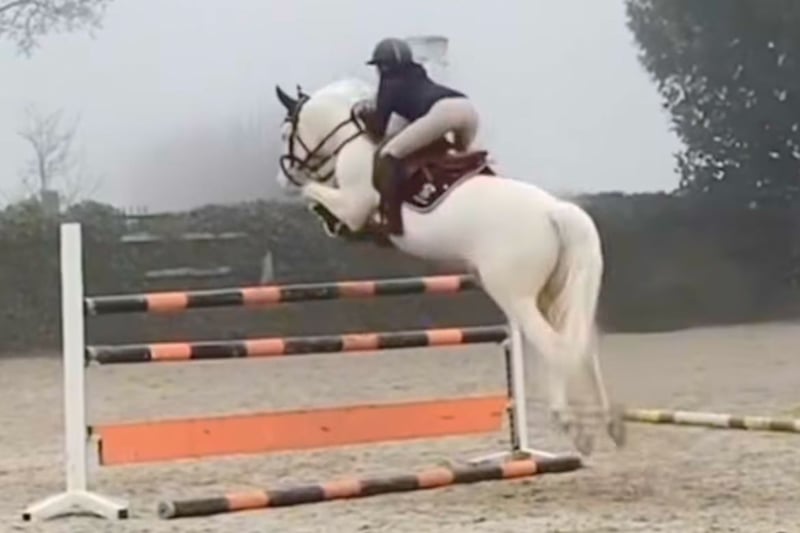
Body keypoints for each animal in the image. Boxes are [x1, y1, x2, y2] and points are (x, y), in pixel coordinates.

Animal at [273, 78, 626, 456]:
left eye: (286, 132)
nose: (282, 177)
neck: (352, 140)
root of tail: (553, 211)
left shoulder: (354, 205)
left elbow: (314, 194)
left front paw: (328, 219)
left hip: (516, 296)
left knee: (556, 346)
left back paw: (573, 426)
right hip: (551, 293)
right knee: (583, 346)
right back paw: (611, 424)